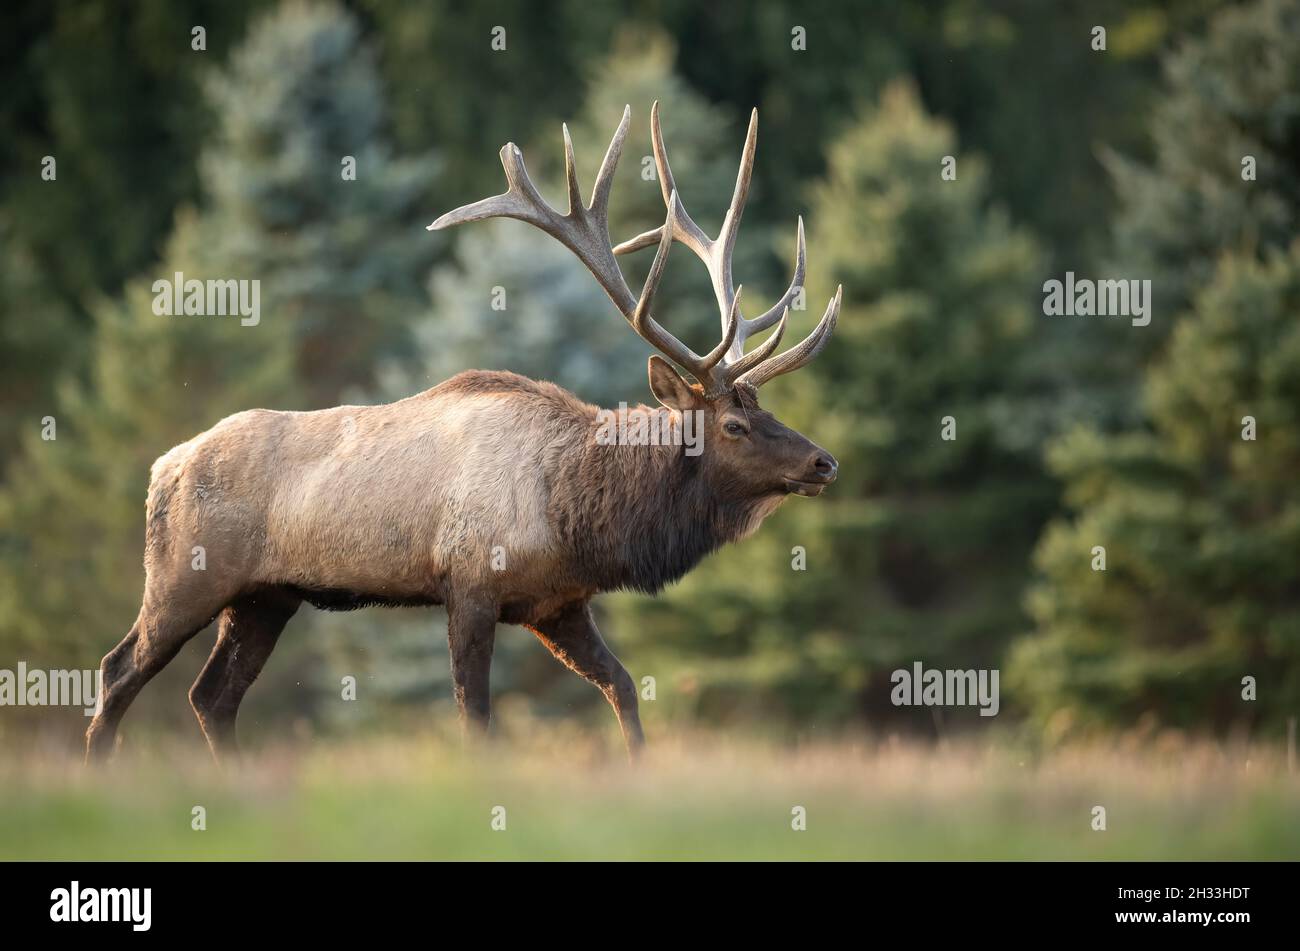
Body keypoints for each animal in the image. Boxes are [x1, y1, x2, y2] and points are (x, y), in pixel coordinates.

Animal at [85, 102, 841, 765]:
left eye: (766, 410)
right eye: (736, 423)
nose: (824, 462)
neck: (579, 511)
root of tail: (164, 467)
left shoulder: (557, 602)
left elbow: (623, 687)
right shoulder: (471, 582)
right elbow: (474, 715)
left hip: (266, 596)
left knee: (211, 696)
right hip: (185, 575)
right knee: (118, 668)